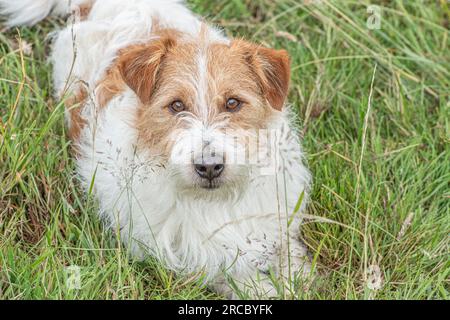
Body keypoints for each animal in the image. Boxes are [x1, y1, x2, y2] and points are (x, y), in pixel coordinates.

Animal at [0, 0, 312, 300]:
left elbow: (287, 251)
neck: (211, 203)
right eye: (176, 105)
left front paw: (296, 278)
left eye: (233, 103)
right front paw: (262, 288)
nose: (209, 166)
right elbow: (227, 272)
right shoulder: (186, 254)